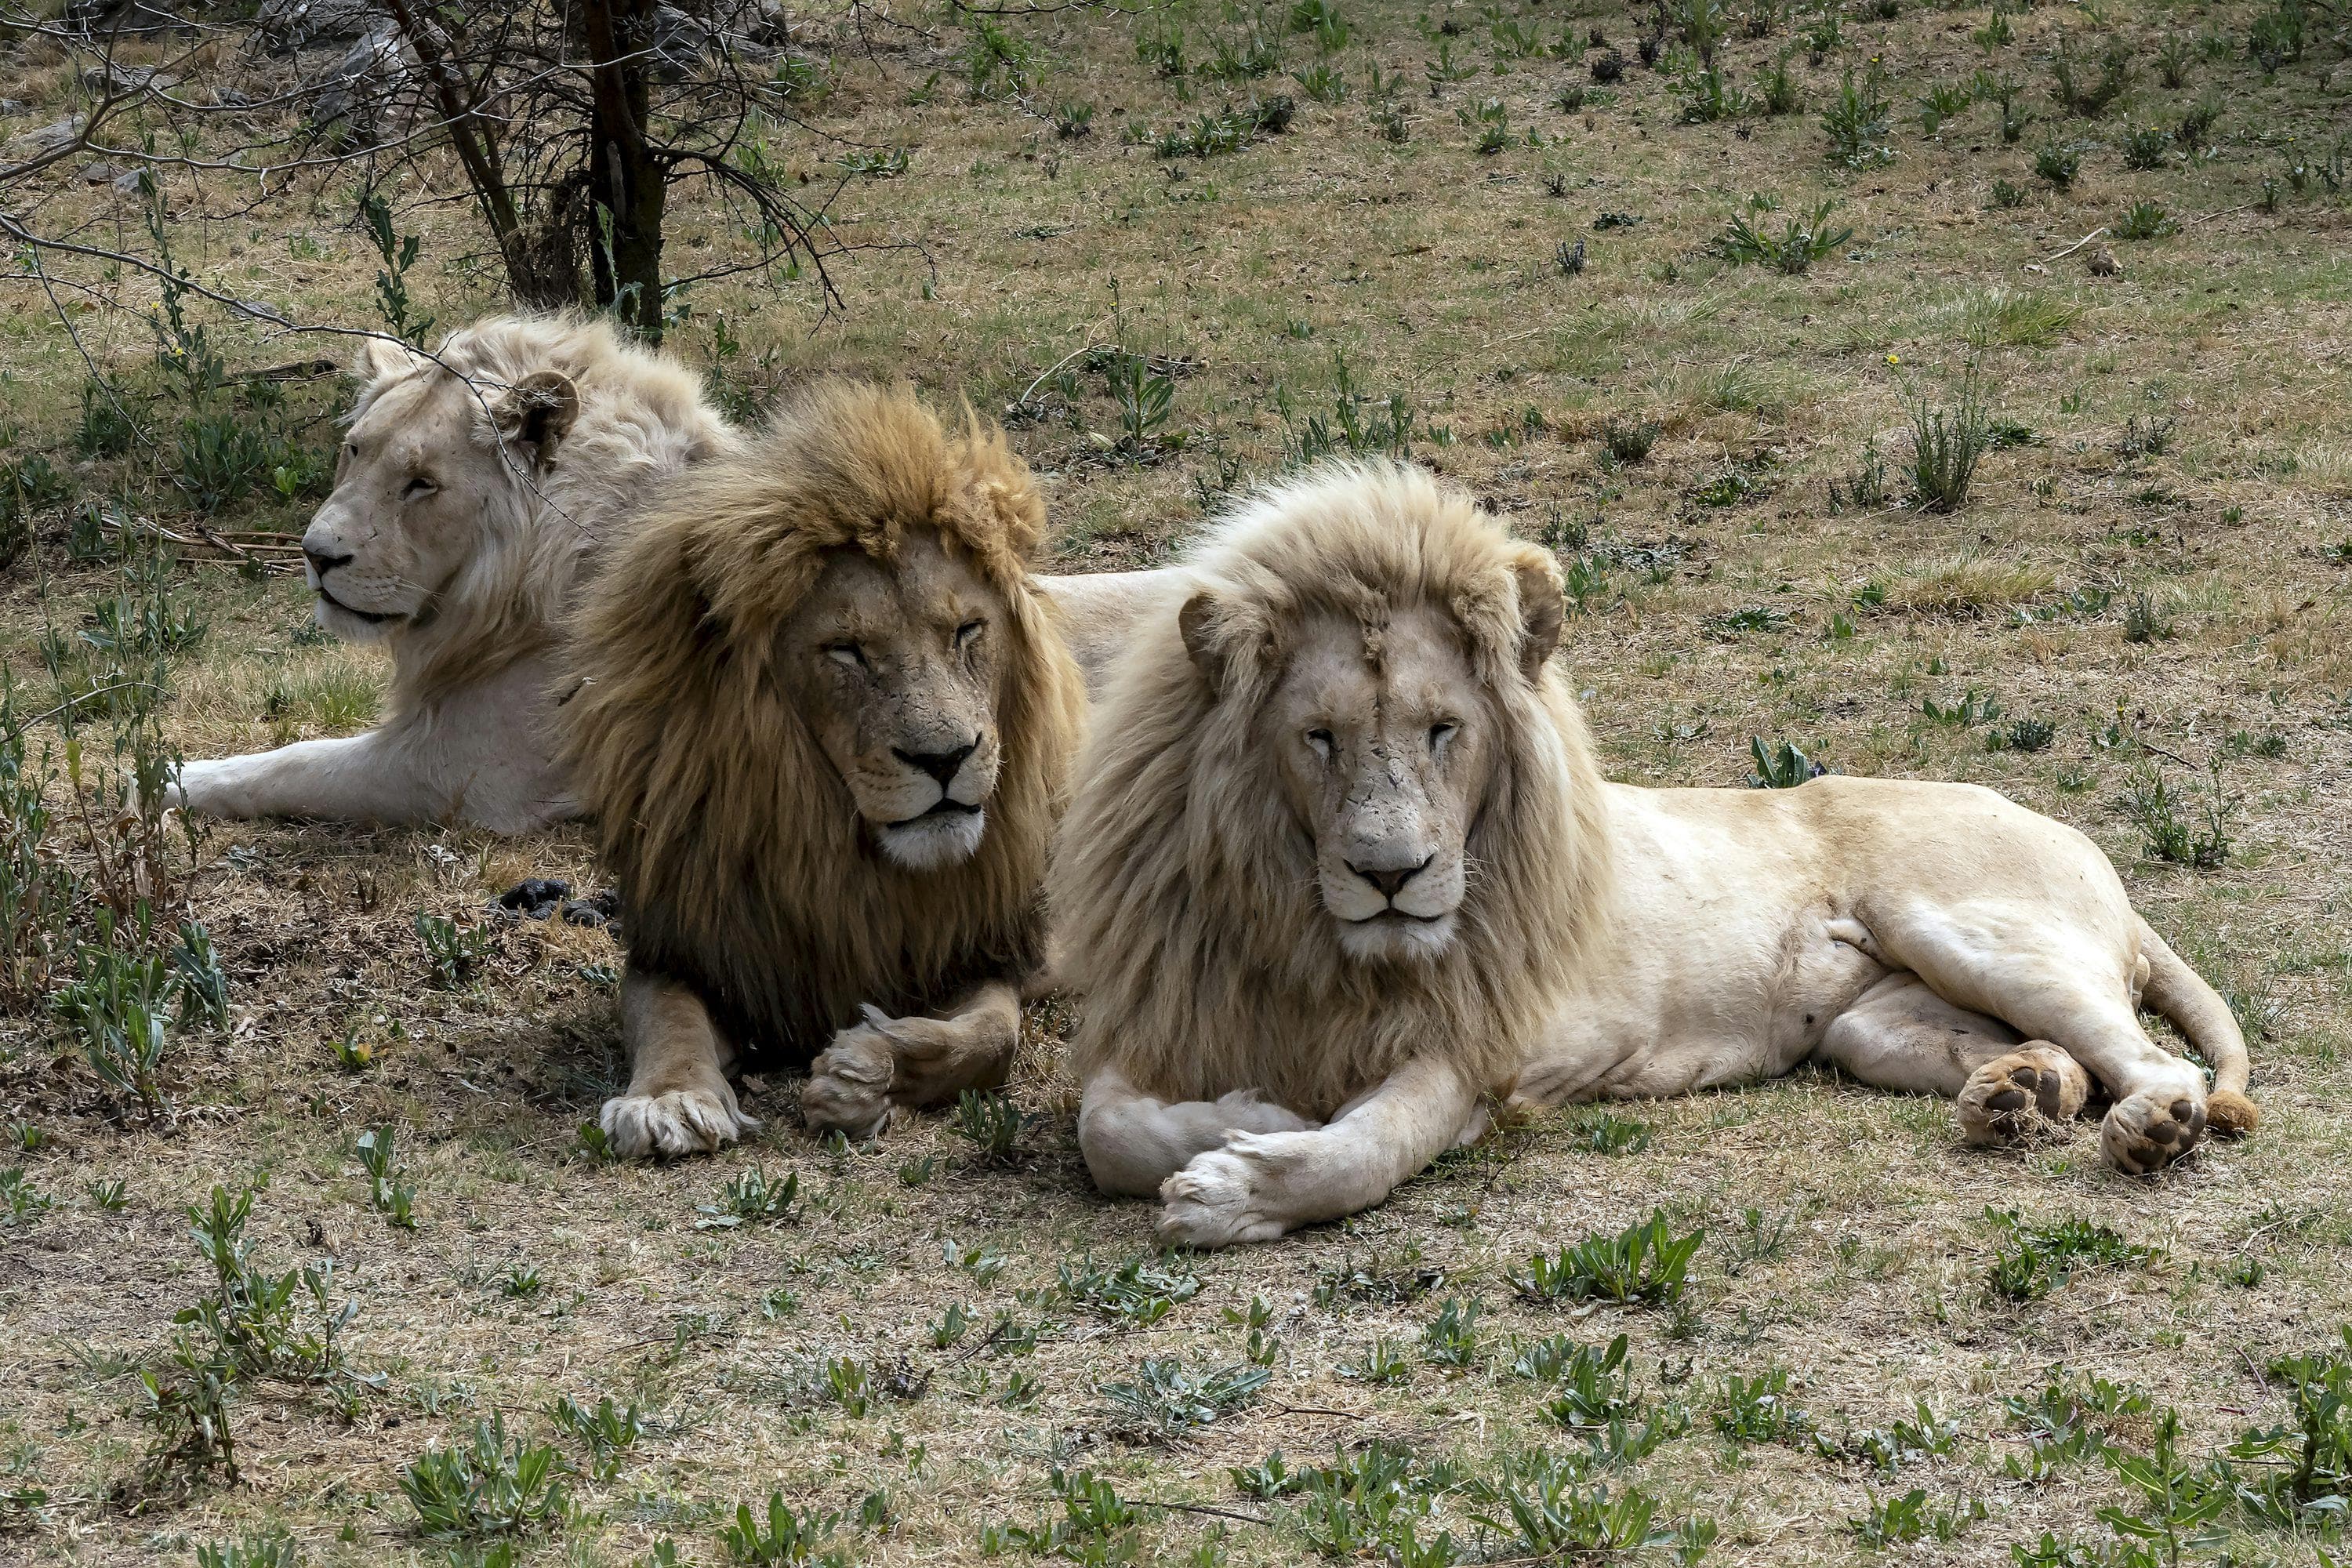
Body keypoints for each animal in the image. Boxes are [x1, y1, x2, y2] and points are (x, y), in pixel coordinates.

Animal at [172, 314, 739, 833]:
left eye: (422, 483)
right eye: (355, 449)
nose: (315, 555)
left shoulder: (472, 770)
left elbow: (297, 763)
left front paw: (173, 778)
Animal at [562, 380, 1089, 1158]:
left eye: (967, 631)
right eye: (846, 651)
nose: (945, 758)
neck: (844, 861)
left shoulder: (991, 951)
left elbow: (992, 1036)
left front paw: (866, 1069)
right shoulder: (688, 946)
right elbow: (670, 1022)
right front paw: (670, 1100)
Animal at [1054, 462, 2258, 1247]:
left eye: (1445, 729)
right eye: (1319, 737)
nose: (1390, 877)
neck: (1313, 940)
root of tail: (2080, 843)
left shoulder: (1487, 1047)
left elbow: (1369, 1145)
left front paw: (1240, 1182)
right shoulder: (1168, 1010)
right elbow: (1106, 1129)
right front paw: (1253, 1116)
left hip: (1974, 929)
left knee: (2160, 1066)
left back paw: (2149, 1132)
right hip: (1874, 1027)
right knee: (2064, 1062)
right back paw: (2014, 1097)